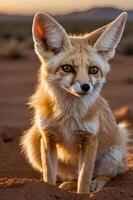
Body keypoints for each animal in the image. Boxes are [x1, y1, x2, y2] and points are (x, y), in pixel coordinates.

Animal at [20, 11, 128, 193]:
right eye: (67, 68)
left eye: (93, 70)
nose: (85, 87)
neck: (68, 115)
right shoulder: (48, 136)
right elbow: (50, 177)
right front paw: (48, 191)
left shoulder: (90, 138)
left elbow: (84, 180)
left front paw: (83, 193)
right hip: (32, 142)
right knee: (73, 177)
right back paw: (68, 184)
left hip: (112, 155)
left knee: (106, 174)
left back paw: (97, 183)